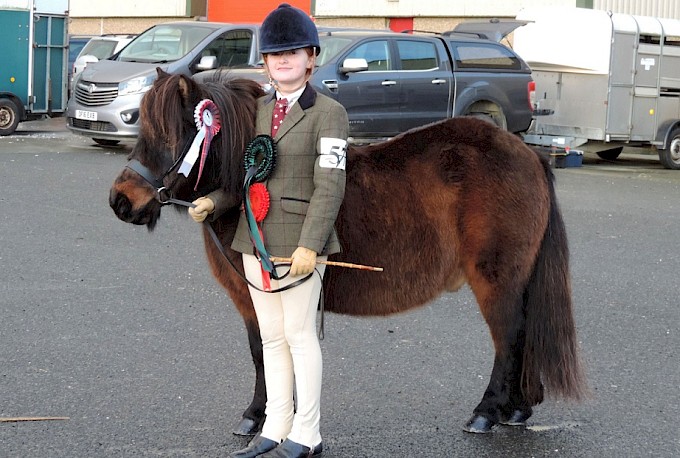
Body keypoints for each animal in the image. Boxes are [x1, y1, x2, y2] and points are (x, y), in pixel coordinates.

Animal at [109, 70, 588, 434]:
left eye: (170, 137)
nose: (120, 201)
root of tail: (527, 153)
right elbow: (267, 352)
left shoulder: (257, 296)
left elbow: (263, 353)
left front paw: (260, 417)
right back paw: (517, 409)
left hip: (497, 280)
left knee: (509, 338)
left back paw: (487, 413)